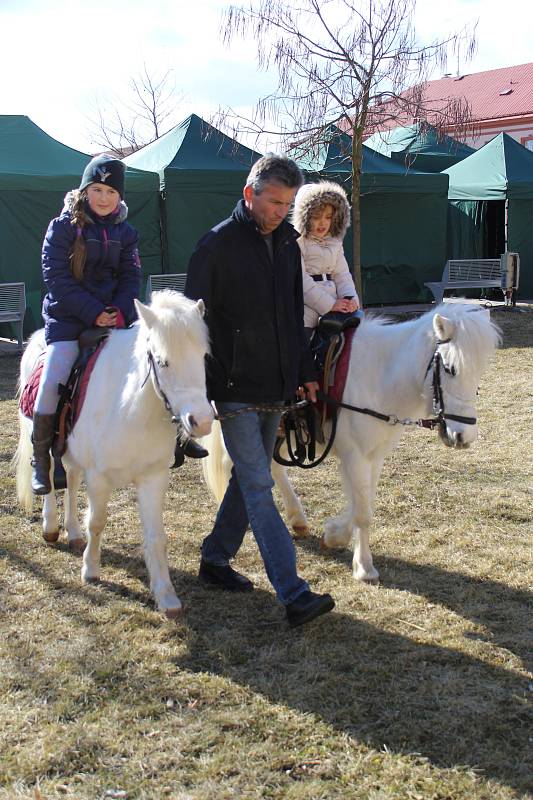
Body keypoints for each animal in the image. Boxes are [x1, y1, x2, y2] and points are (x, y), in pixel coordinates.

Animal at [15, 290, 213, 616]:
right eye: (163, 361)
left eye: (203, 357)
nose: (203, 421)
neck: (131, 409)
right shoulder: (99, 478)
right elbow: (97, 522)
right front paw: (91, 571)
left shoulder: (153, 478)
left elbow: (156, 537)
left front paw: (166, 596)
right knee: (48, 477)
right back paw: (51, 526)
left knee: (70, 479)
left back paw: (73, 532)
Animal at [202, 304, 500, 584]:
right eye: (450, 369)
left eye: (479, 373)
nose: (464, 436)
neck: (379, 378)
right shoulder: (354, 456)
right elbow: (363, 513)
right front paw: (365, 568)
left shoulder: (374, 457)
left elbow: (363, 504)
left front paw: (334, 535)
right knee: (238, 466)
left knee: (273, 468)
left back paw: (297, 519)